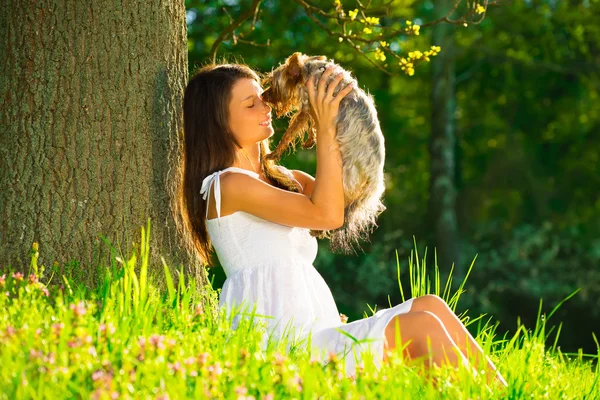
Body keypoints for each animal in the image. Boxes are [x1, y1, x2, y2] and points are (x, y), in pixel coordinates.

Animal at [262, 52, 384, 253]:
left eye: (273, 84)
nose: (263, 95)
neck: (308, 69)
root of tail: (374, 182)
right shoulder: (311, 106)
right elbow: (312, 124)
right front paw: (311, 140)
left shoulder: (306, 105)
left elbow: (291, 131)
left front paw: (274, 154)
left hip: (345, 181)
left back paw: (317, 230)